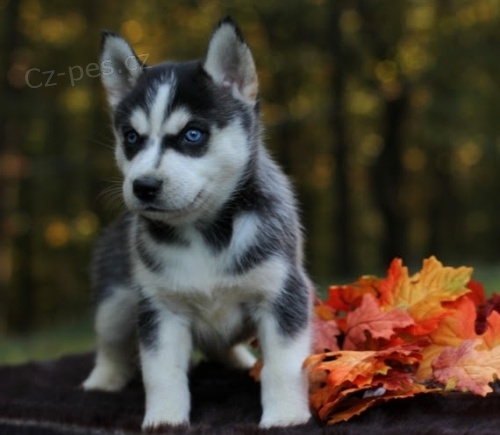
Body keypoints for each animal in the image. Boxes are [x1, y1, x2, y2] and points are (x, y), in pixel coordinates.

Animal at [84, 17, 314, 430]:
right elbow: (161, 372)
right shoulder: (161, 308)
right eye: (132, 138)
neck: (205, 233)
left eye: (193, 134)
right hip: (116, 301)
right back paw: (103, 380)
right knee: (110, 343)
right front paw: (164, 420)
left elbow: (283, 366)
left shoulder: (282, 292)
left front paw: (285, 416)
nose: (143, 186)